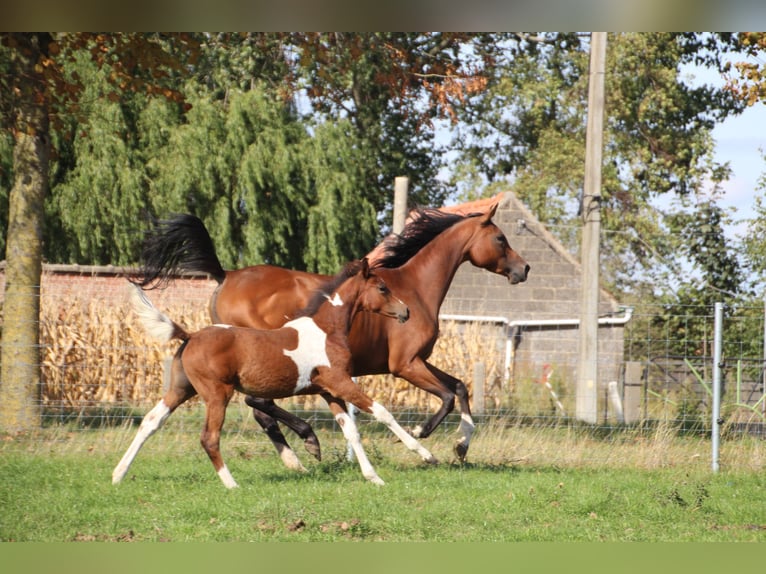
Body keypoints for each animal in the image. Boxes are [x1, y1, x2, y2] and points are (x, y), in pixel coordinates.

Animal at [113, 259, 437, 488]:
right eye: (382, 288)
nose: (405, 312)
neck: (326, 329)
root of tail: (190, 335)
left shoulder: (329, 391)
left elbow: (351, 432)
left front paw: (373, 477)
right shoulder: (340, 382)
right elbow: (382, 412)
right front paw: (425, 454)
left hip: (181, 390)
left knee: (151, 422)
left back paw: (118, 474)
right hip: (217, 394)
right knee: (209, 437)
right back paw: (232, 484)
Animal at [133, 202, 530, 465]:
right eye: (500, 238)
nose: (523, 268)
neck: (415, 287)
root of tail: (225, 275)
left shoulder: (418, 362)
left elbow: (460, 387)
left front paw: (461, 447)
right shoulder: (404, 365)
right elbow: (447, 396)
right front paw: (422, 436)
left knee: (260, 409)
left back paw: (295, 455)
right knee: (258, 405)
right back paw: (306, 444)